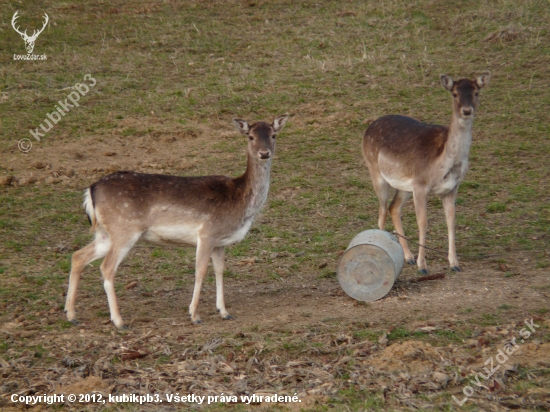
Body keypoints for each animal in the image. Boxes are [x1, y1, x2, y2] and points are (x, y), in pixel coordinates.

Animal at [64, 115, 288, 328]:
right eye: (250, 136)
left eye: (273, 135)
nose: (264, 153)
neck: (240, 201)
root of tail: (91, 190)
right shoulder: (206, 233)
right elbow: (200, 270)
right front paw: (194, 315)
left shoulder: (220, 242)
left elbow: (220, 270)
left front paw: (224, 312)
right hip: (124, 229)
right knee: (106, 267)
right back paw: (119, 322)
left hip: (105, 234)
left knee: (78, 256)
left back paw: (71, 315)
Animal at [364, 73, 494, 274]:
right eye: (455, 94)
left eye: (476, 92)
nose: (466, 110)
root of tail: (368, 128)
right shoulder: (420, 185)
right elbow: (423, 222)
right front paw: (423, 266)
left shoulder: (451, 188)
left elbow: (451, 221)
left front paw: (454, 264)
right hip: (376, 173)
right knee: (382, 210)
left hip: (404, 186)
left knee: (394, 207)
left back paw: (408, 257)